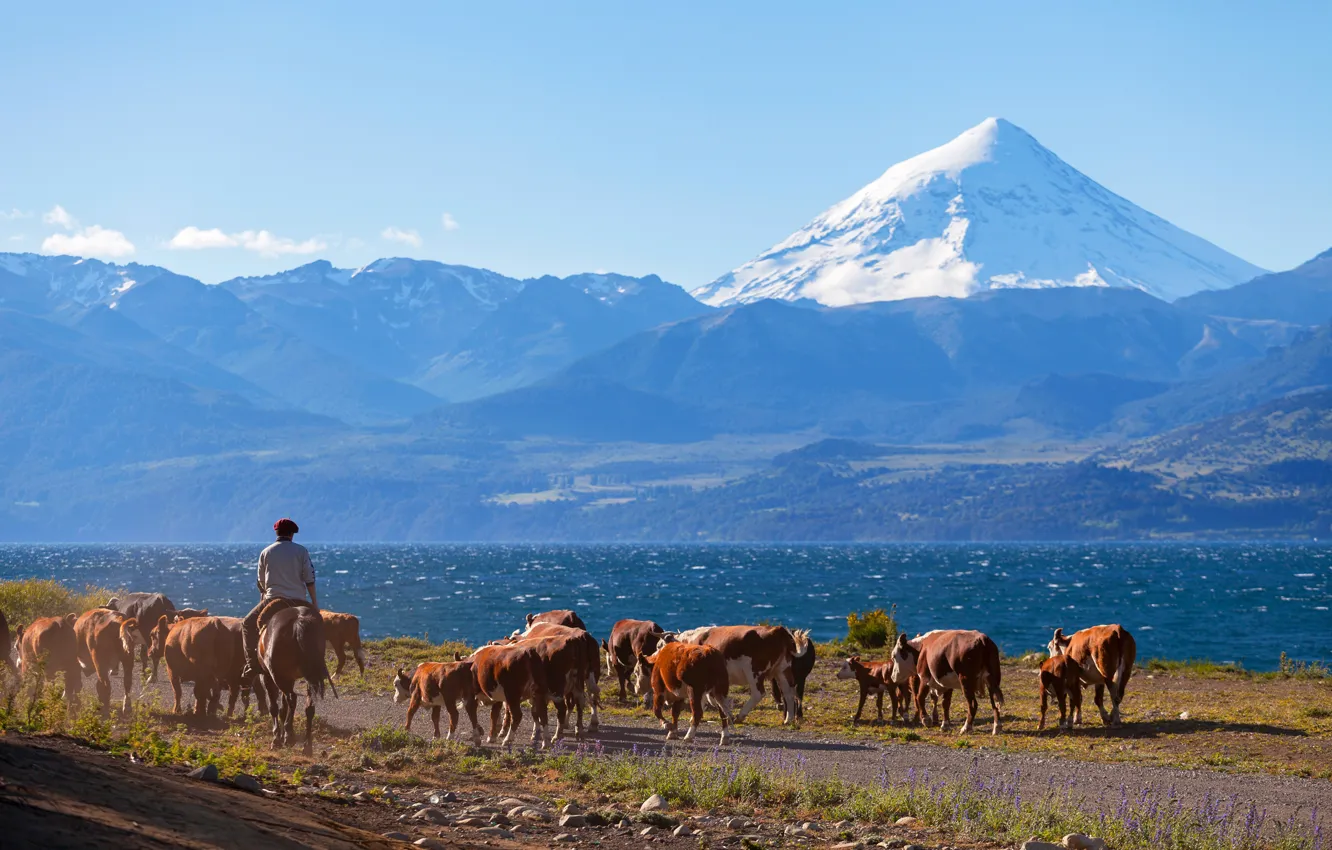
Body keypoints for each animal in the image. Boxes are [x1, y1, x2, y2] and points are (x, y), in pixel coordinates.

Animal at [667, 625, 810, 726]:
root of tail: (778, 629)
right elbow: (709, 697)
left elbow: (707, 697)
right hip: (782, 670)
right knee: (788, 692)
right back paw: (788, 720)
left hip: (753, 671)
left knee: (758, 693)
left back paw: (740, 716)